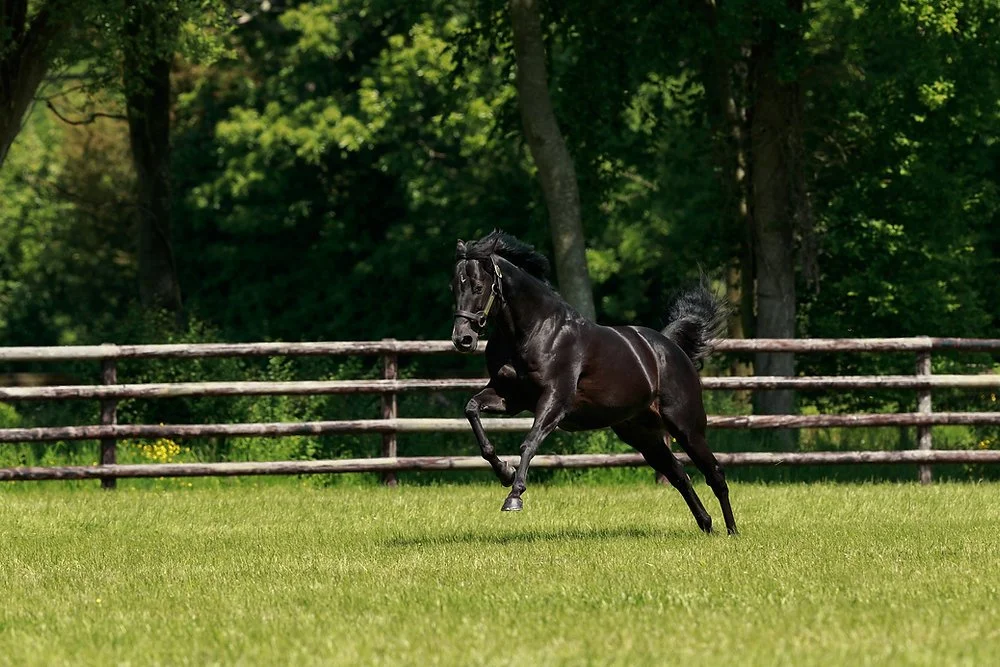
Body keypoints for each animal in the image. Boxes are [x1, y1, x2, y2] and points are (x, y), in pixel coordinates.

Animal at [450, 230, 737, 535]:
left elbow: (529, 442)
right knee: (679, 474)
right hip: (641, 434)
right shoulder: (511, 398)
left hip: (686, 427)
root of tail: (669, 346)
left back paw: (731, 531)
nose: (463, 339)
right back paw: (707, 525)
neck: (536, 330)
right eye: (454, 287)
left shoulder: (555, 400)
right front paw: (504, 472)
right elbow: (472, 410)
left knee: (715, 474)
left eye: (478, 287)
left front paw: (514, 496)